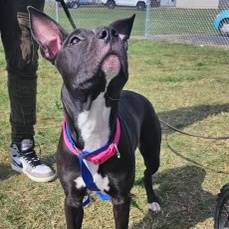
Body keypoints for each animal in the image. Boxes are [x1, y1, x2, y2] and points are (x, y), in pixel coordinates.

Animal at [28, 7, 161, 229]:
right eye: (75, 40)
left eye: (122, 39)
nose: (111, 33)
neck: (94, 115)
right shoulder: (72, 200)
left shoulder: (121, 198)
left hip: (152, 152)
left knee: (147, 174)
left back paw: (152, 200)